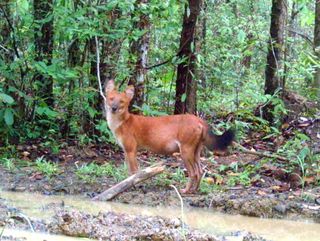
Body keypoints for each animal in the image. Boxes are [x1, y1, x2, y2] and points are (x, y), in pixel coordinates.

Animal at [105, 80, 235, 193]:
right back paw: (194, 190)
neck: (121, 123)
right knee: (200, 171)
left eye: (121, 101)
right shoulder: (126, 151)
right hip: (196, 152)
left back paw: (185, 191)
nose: (114, 108)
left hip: (185, 151)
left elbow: (134, 172)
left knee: (193, 173)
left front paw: (135, 186)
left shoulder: (131, 150)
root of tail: (199, 119)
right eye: (111, 99)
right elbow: (129, 172)